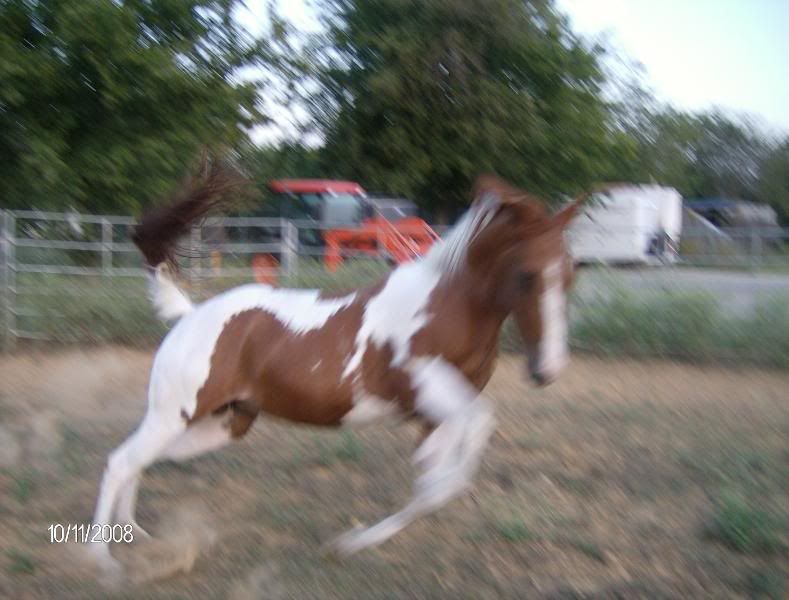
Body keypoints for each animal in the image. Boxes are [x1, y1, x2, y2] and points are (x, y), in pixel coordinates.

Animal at [89, 168, 580, 576]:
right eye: (527, 275)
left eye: (570, 275)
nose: (548, 370)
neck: (444, 309)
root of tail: (189, 315)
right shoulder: (429, 392)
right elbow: (463, 450)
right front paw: (350, 543)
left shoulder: (433, 417)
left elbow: (432, 480)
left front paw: (357, 539)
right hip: (174, 413)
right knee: (120, 461)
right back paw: (101, 558)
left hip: (223, 423)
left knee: (141, 460)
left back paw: (133, 535)